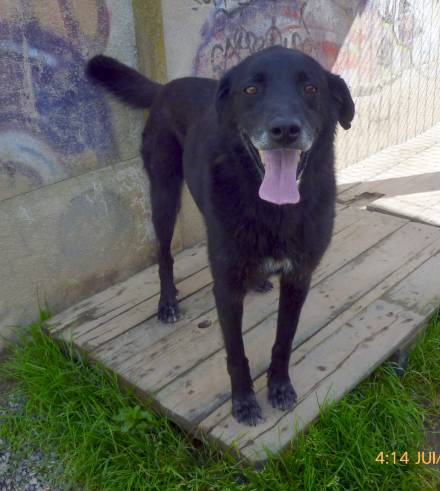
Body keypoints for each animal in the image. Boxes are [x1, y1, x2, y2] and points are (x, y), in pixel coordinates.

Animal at [87, 47, 356, 426]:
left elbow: (284, 340)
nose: (285, 129)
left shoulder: (298, 278)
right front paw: (243, 401)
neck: (273, 210)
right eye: (251, 90)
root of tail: (165, 87)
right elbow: (236, 352)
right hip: (164, 194)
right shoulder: (226, 288)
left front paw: (279, 386)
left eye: (311, 88)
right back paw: (167, 303)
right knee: (164, 255)